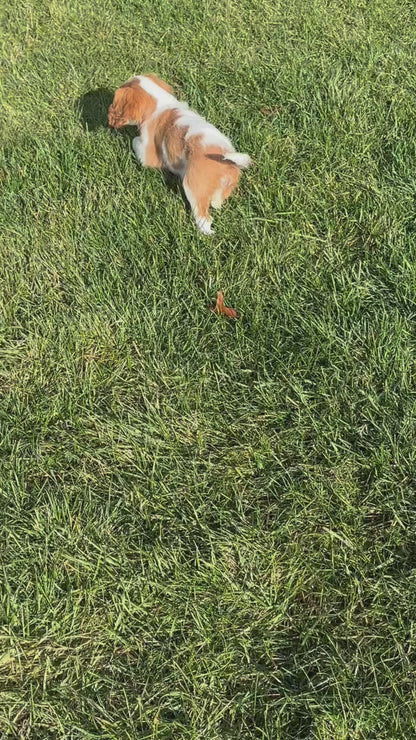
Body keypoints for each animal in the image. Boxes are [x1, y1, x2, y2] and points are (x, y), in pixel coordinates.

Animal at [108, 73, 250, 233]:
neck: (161, 103)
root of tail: (226, 159)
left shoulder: (147, 152)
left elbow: (135, 141)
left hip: (193, 187)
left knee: (204, 219)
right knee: (216, 203)